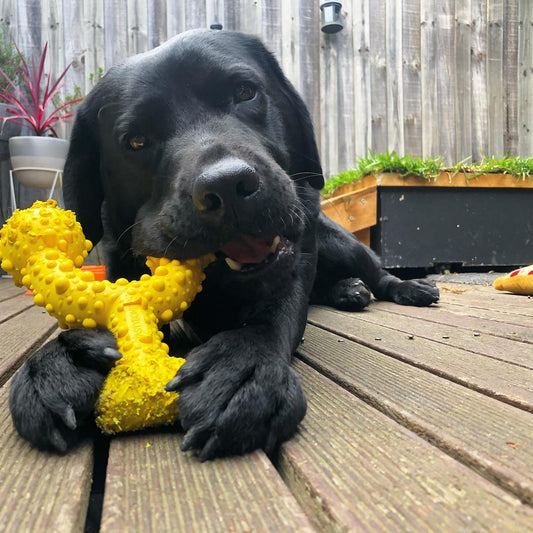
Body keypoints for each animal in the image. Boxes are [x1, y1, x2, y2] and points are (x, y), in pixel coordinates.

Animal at [9, 31, 436, 460]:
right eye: (136, 141)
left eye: (245, 92)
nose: (228, 186)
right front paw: (64, 358)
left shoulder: (295, 260)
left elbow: (271, 316)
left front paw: (241, 366)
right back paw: (348, 290)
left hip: (339, 241)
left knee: (376, 270)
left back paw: (404, 287)